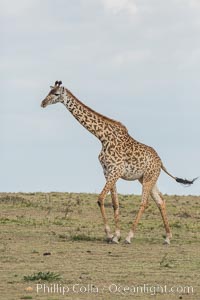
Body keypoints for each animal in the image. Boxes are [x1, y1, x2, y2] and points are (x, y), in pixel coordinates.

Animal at [41, 81, 197, 245]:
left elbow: (100, 199)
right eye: (49, 91)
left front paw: (110, 235)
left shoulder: (115, 171)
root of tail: (160, 161)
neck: (102, 137)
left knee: (144, 202)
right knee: (160, 201)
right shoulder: (107, 172)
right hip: (147, 179)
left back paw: (130, 237)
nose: (43, 103)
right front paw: (116, 236)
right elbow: (115, 203)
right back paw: (167, 237)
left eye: (56, 93)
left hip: (148, 178)